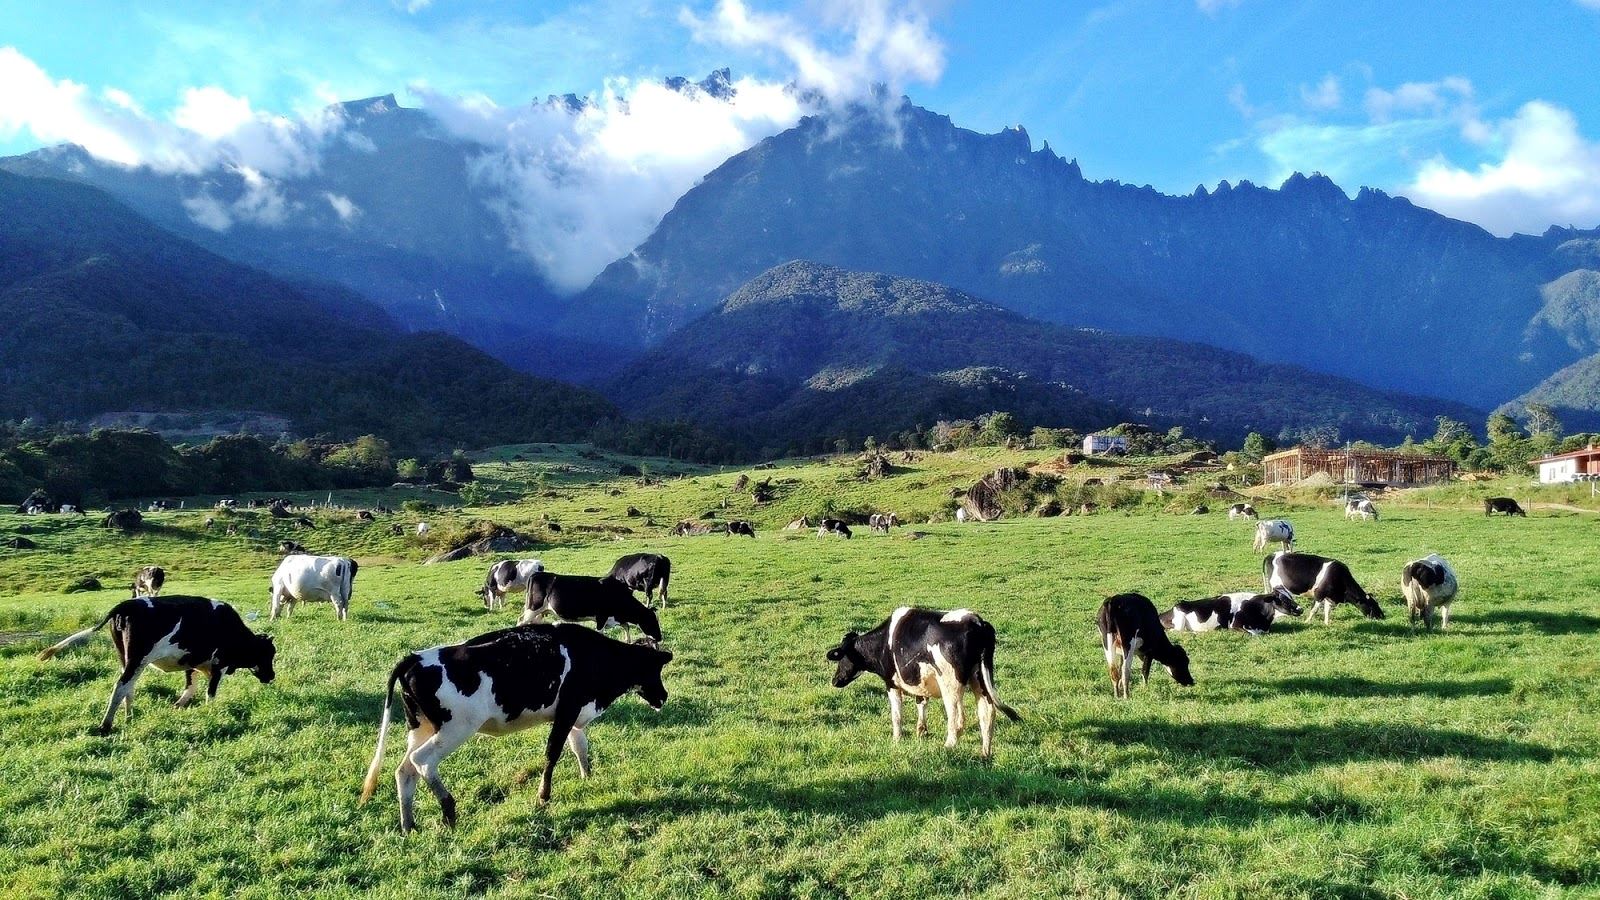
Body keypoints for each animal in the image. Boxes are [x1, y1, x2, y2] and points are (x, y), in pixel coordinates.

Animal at [36, 592, 278, 733]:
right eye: (269, 655)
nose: (271, 676)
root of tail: (126, 605)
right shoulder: (219, 663)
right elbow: (210, 692)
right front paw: (211, 712)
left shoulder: (192, 660)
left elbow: (191, 686)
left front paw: (178, 705)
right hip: (138, 658)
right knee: (121, 686)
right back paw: (106, 724)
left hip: (127, 658)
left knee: (128, 687)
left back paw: (129, 717)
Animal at [360, 624, 672, 826]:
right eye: (655, 668)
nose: (664, 696)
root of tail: (414, 658)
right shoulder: (568, 710)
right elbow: (552, 753)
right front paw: (543, 797)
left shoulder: (572, 714)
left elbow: (579, 747)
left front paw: (587, 777)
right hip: (455, 729)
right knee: (422, 761)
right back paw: (449, 810)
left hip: (421, 727)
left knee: (404, 771)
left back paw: (408, 825)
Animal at [515, 570, 659, 640]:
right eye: (653, 622)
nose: (659, 638)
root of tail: (536, 574)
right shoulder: (602, 617)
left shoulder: (617, 617)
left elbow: (627, 627)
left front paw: (628, 641)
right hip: (533, 608)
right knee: (520, 620)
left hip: (540, 612)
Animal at [825, 602, 1024, 755]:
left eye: (841, 657)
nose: (835, 681)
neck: (883, 643)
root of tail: (977, 622)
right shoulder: (919, 679)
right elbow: (921, 702)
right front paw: (921, 731)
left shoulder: (891, 683)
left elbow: (896, 715)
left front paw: (897, 739)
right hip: (980, 678)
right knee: (987, 713)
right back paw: (985, 753)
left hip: (950, 684)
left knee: (956, 717)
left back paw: (948, 746)